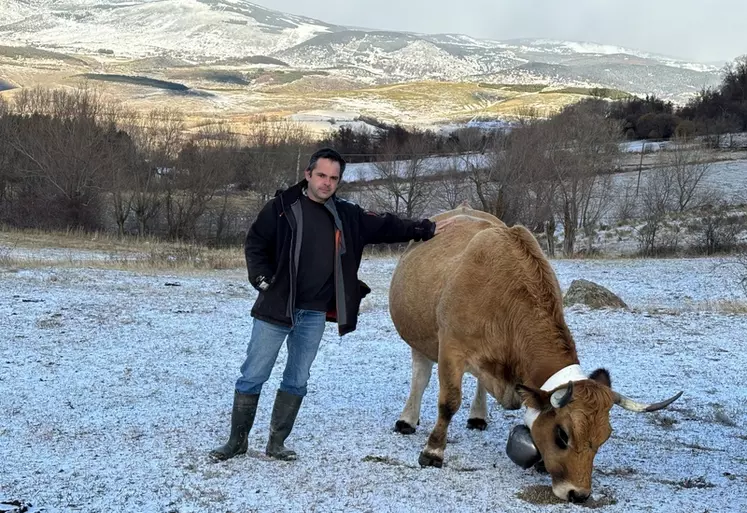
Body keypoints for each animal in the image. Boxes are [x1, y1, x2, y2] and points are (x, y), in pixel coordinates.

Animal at [392, 203, 684, 500]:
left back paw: (478, 416)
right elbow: (449, 402)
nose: (578, 494)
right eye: (562, 435)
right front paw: (432, 452)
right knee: (421, 376)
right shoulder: (451, 349)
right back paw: (407, 419)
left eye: (605, 436)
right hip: (420, 337)